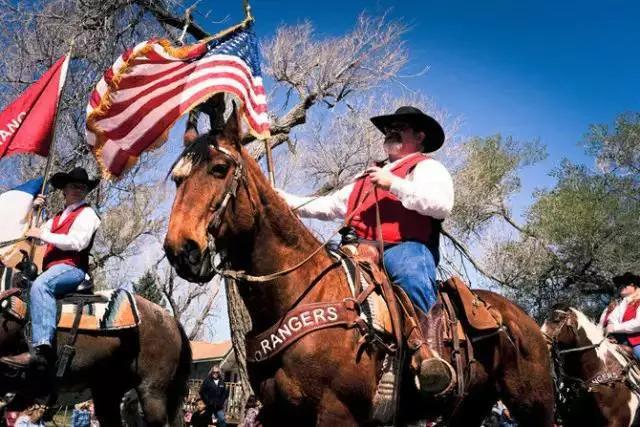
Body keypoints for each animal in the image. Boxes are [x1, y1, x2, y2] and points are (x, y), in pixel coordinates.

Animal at [164, 108, 556, 427]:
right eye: (177, 179)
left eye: (220, 169)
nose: (181, 250)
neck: (300, 292)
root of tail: (525, 322)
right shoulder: (279, 413)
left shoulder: (338, 413)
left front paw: (385, 178)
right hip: (469, 408)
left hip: (534, 405)